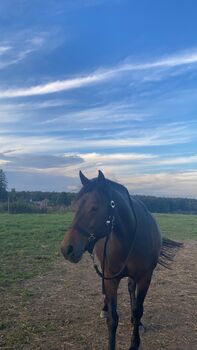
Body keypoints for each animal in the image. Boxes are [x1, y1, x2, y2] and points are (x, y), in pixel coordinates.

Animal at [60, 170, 182, 350]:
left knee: (131, 290)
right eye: (75, 207)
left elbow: (138, 310)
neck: (128, 236)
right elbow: (113, 318)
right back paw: (104, 308)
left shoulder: (145, 277)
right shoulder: (111, 278)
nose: (66, 249)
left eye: (94, 207)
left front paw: (135, 340)